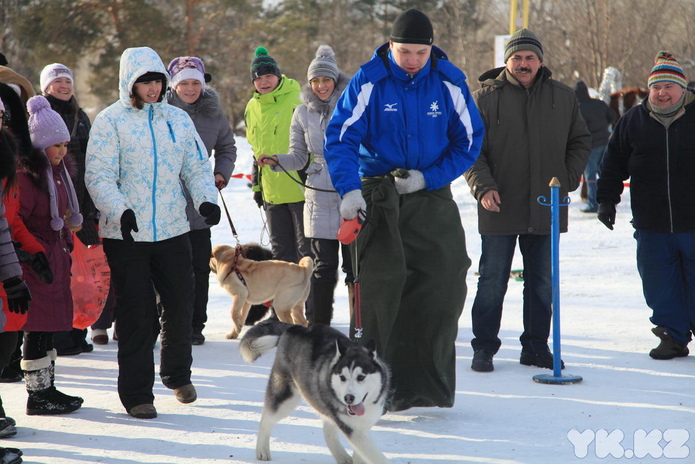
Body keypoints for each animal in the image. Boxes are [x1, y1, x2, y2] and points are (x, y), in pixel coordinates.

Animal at [239, 320, 392, 462]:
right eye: (342, 377)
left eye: (361, 377)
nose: (348, 398)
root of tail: (295, 327)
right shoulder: (353, 429)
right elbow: (377, 457)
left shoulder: (363, 426)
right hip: (285, 397)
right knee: (266, 420)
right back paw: (262, 450)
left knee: (327, 431)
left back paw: (342, 457)